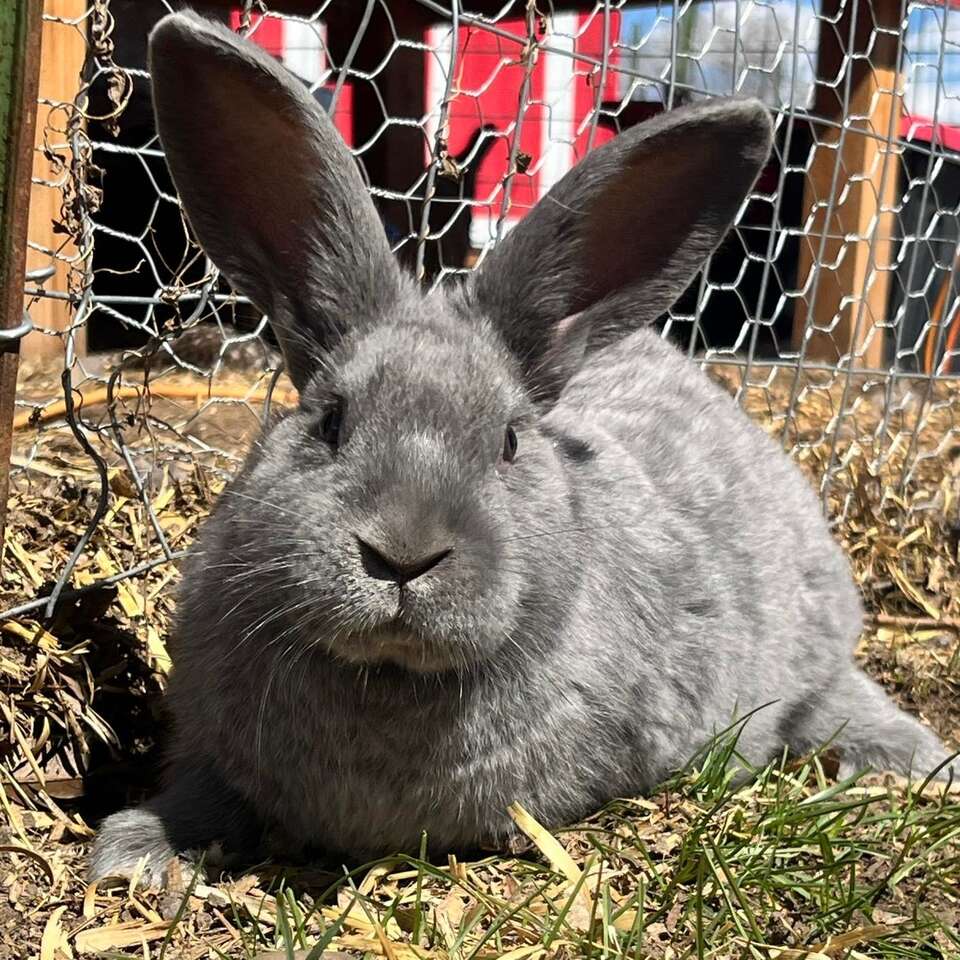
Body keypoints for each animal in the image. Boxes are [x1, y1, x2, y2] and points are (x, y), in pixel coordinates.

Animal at [89, 11, 954, 887]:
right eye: (330, 420)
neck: (391, 674)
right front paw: (133, 854)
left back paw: (913, 761)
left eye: (509, 441)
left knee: (836, 698)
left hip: (811, 645)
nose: (401, 556)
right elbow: (202, 793)